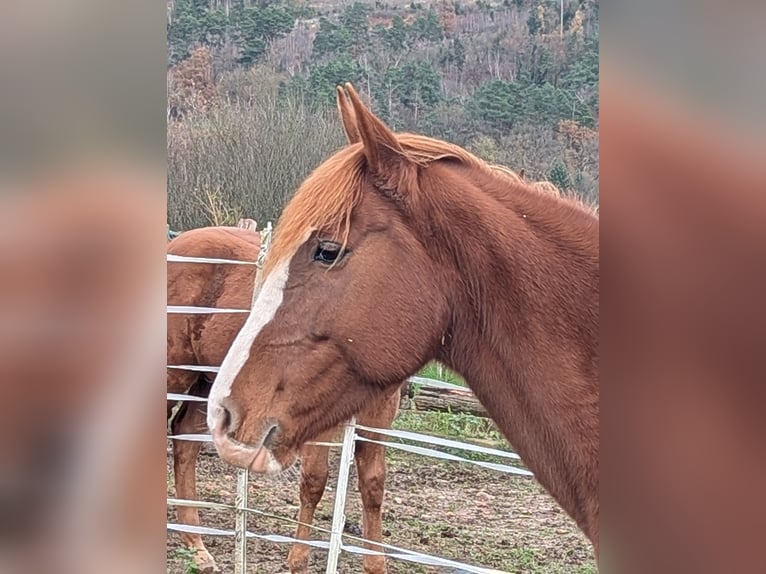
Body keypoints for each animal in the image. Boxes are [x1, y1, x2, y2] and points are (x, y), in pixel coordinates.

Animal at [167, 225, 401, 574]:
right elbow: (315, 480)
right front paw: (298, 561)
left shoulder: (379, 414)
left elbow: (373, 485)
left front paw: (376, 565)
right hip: (175, 372)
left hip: (206, 381)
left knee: (184, 443)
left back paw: (196, 545)